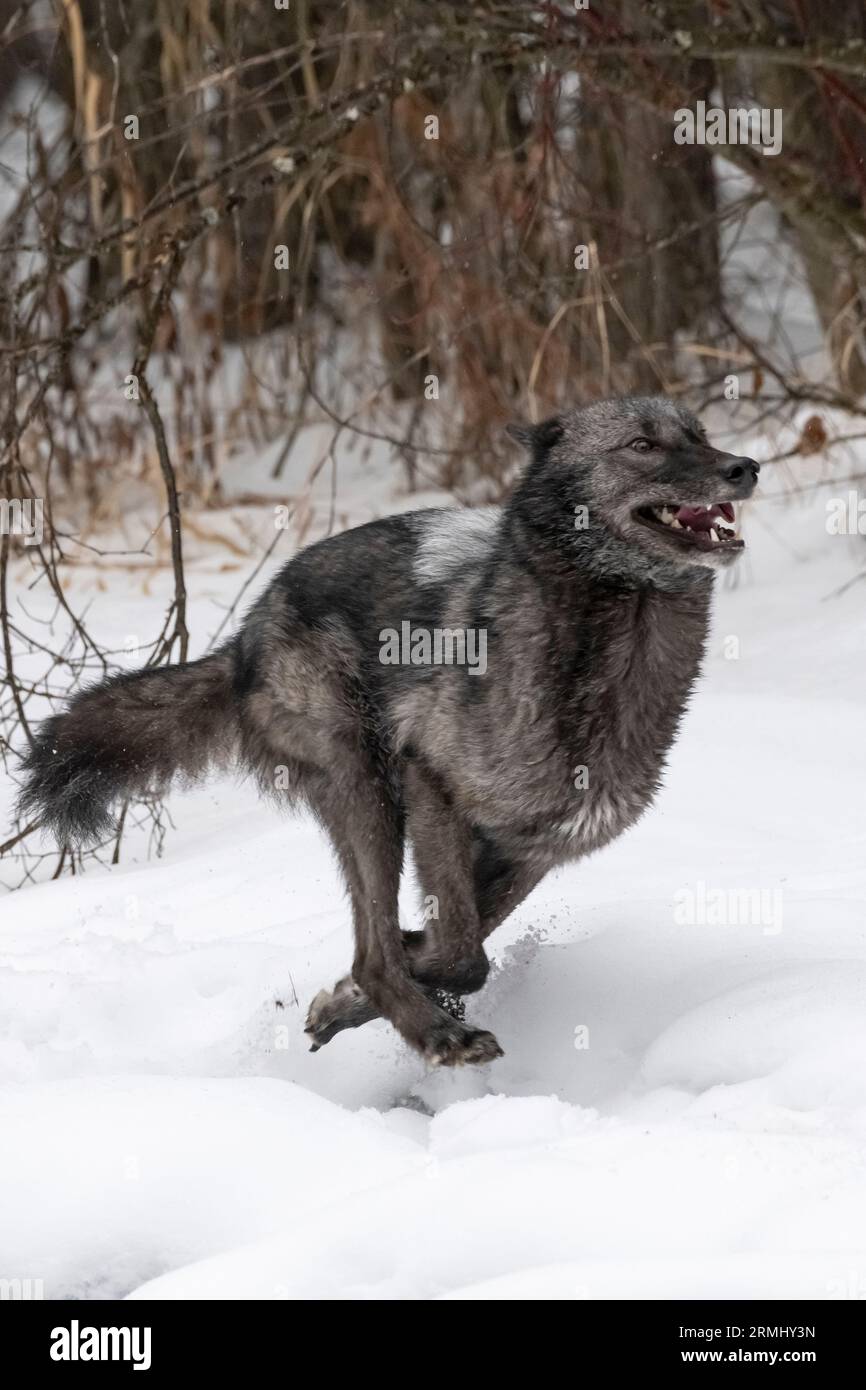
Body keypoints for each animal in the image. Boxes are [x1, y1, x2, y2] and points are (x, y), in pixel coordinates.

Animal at [17, 396, 759, 1066]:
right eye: (643, 445)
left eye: (700, 434)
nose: (746, 467)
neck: (607, 653)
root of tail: (244, 639)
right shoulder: (429, 780)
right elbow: (460, 954)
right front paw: (406, 996)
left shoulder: (535, 848)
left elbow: (458, 937)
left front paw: (358, 994)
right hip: (368, 792)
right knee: (372, 950)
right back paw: (438, 1034)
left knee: (378, 946)